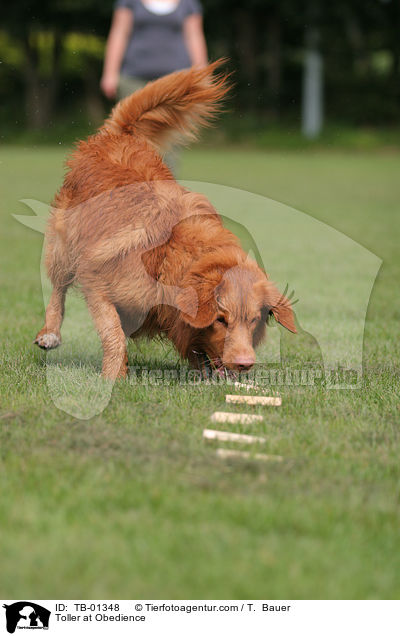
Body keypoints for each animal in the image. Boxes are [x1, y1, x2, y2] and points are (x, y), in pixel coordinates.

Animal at [34, 60, 296, 378]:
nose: (245, 364)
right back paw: (50, 333)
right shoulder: (97, 280)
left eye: (255, 320)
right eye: (220, 320)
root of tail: (120, 136)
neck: (169, 256)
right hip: (63, 247)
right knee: (58, 288)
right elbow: (113, 334)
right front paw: (113, 376)